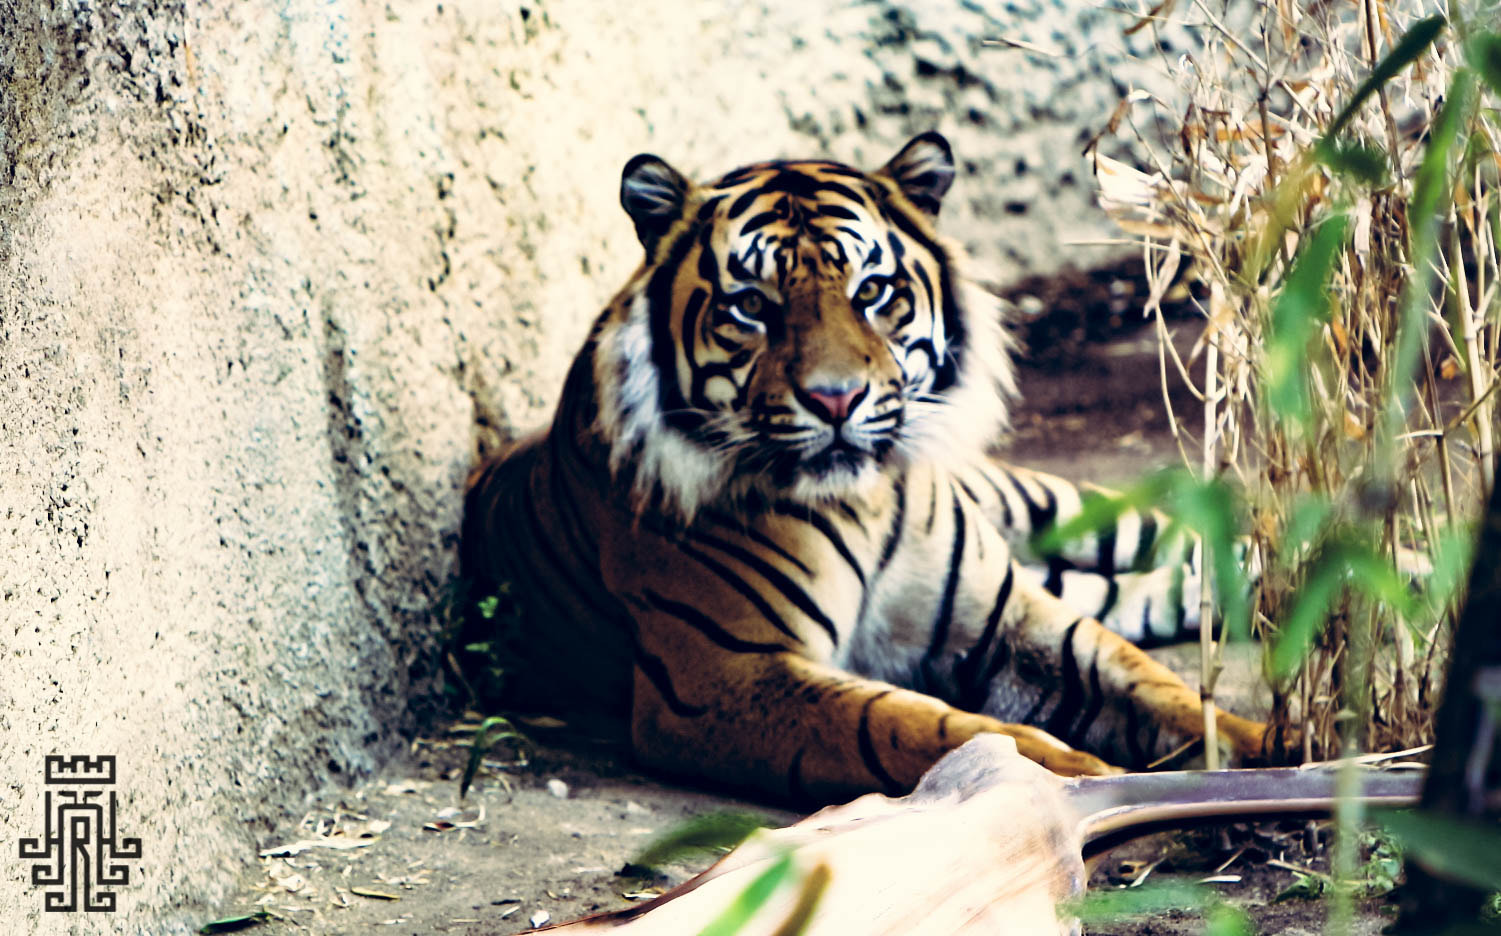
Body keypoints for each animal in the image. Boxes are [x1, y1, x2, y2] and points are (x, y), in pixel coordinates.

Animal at [461, 132, 1274, 804]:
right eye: (750, 305)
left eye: (873, 291)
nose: (834, 398)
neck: (862, 503)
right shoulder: (723, 673)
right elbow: (912, 726)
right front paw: (1073, 779)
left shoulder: (1004, 618)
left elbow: (1151, 687)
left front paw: (1269, 746)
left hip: (1058, 509)